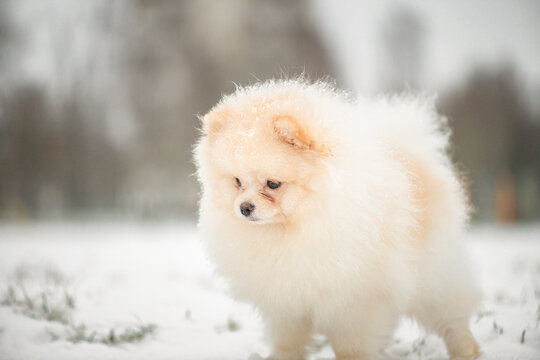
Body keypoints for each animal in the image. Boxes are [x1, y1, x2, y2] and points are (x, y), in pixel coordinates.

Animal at [194, 79, 480, 360]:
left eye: (273, 184)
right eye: (237, 181)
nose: (245, 207)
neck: (297, 228)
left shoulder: (354, 302)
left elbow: (350, 346)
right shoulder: (285, 301)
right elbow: (287, 340)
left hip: (434, 278)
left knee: (452, 319)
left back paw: (466, 350)